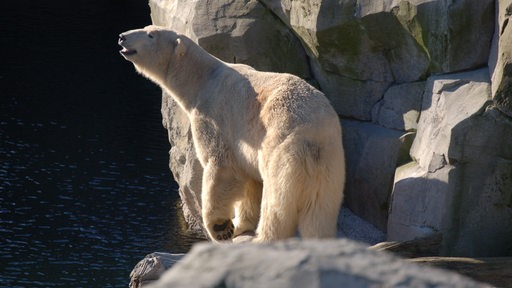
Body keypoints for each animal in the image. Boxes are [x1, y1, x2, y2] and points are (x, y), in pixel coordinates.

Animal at [118, 25, 346, 243]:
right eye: (146, 27)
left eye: (150, 34)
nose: (122, 37)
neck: (203, 78)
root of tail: (313, 137)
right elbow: (251, 183)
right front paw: (239, 225)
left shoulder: (214, 115)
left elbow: (221, 166)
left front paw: (221, 228)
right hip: (330, 163)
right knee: (320, 209)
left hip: (282, 149)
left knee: (276, 200)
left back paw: (263, 239)